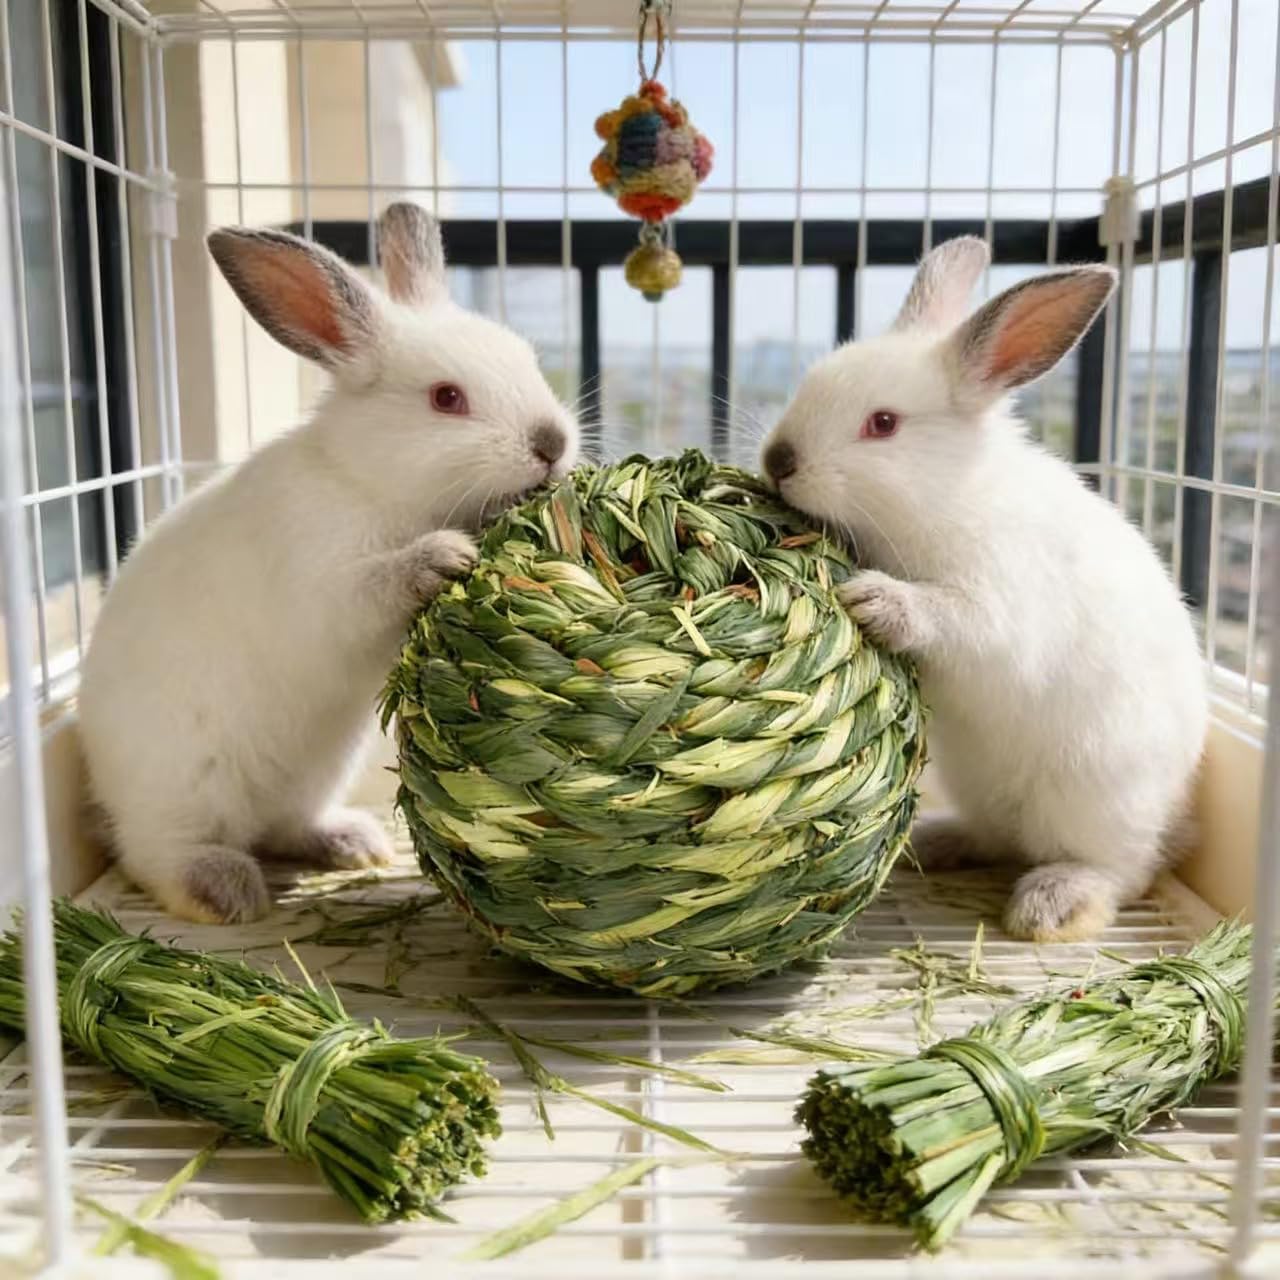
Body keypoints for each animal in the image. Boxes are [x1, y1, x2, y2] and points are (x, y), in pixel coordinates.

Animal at [77, 203, 579, 925]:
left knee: (286, 826)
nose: (552, 444)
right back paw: (222, 890)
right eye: (446, 398)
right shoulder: (321, 585)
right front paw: (446, 556)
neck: (367, 481)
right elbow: (372, 588)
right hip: (183, 789)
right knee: (153, 855)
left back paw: (352, 843)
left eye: (529, 360)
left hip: (317, 772)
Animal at [760, 236, 1207, 942]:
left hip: (1092, 801)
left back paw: (1053, 905)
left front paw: (872, 598)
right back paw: (937, 844)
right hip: (980, 784)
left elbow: (952, 618)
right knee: (997, 840)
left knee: (1122, 870)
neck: (944, 492)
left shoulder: (1000, 605)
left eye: (882, 423)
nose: (778, 462)